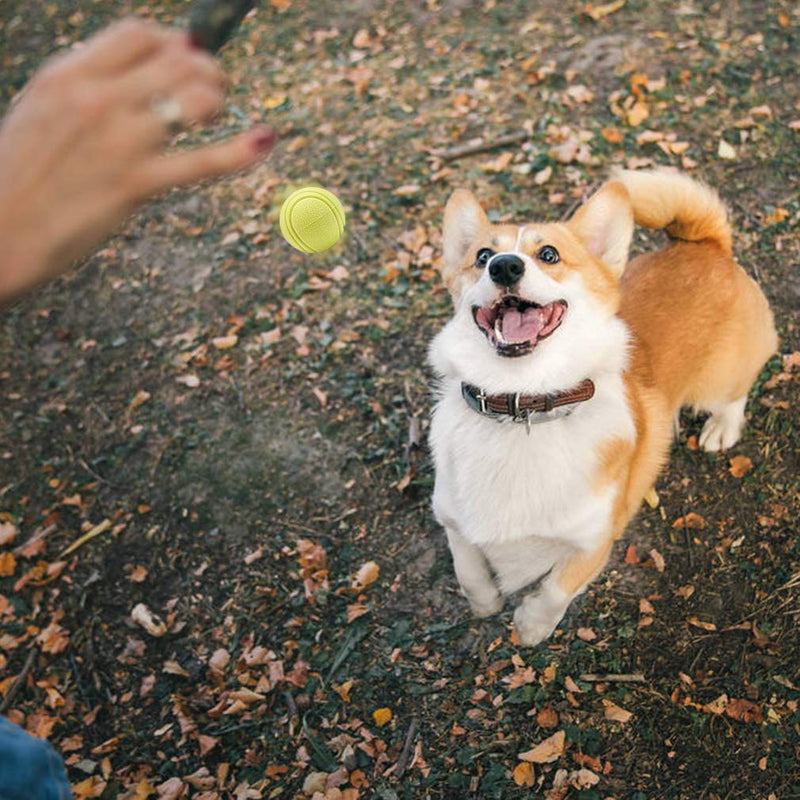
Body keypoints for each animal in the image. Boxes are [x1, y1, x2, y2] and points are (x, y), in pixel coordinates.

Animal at [432, 172, 776, 648]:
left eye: (549, 254)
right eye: (481, 256)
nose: (503, 266)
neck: (522, 404)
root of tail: (707, 244)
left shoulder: (594, 541)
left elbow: (556, 590)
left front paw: (530, 628)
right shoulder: (451, 519)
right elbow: (467, 568)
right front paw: (485, 604)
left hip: (718, 380)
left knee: (736, 391)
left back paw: (722, 427)